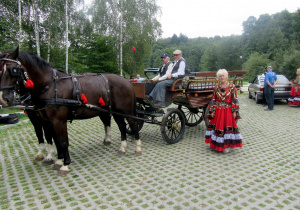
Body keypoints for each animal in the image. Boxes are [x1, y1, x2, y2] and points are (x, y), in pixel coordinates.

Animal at [0, 47, 142, 176]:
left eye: (13, 70)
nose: (4, 98)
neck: (50, 86)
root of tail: (126, 80)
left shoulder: (59, 121)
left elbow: (63, 142)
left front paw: (65, 164)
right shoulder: (47, 121)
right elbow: (53, 139)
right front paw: (57, 159)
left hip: (126, 111)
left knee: (133, 125)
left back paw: (138, 147)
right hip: (114, 111)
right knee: (122, 126)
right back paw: (122, 147)